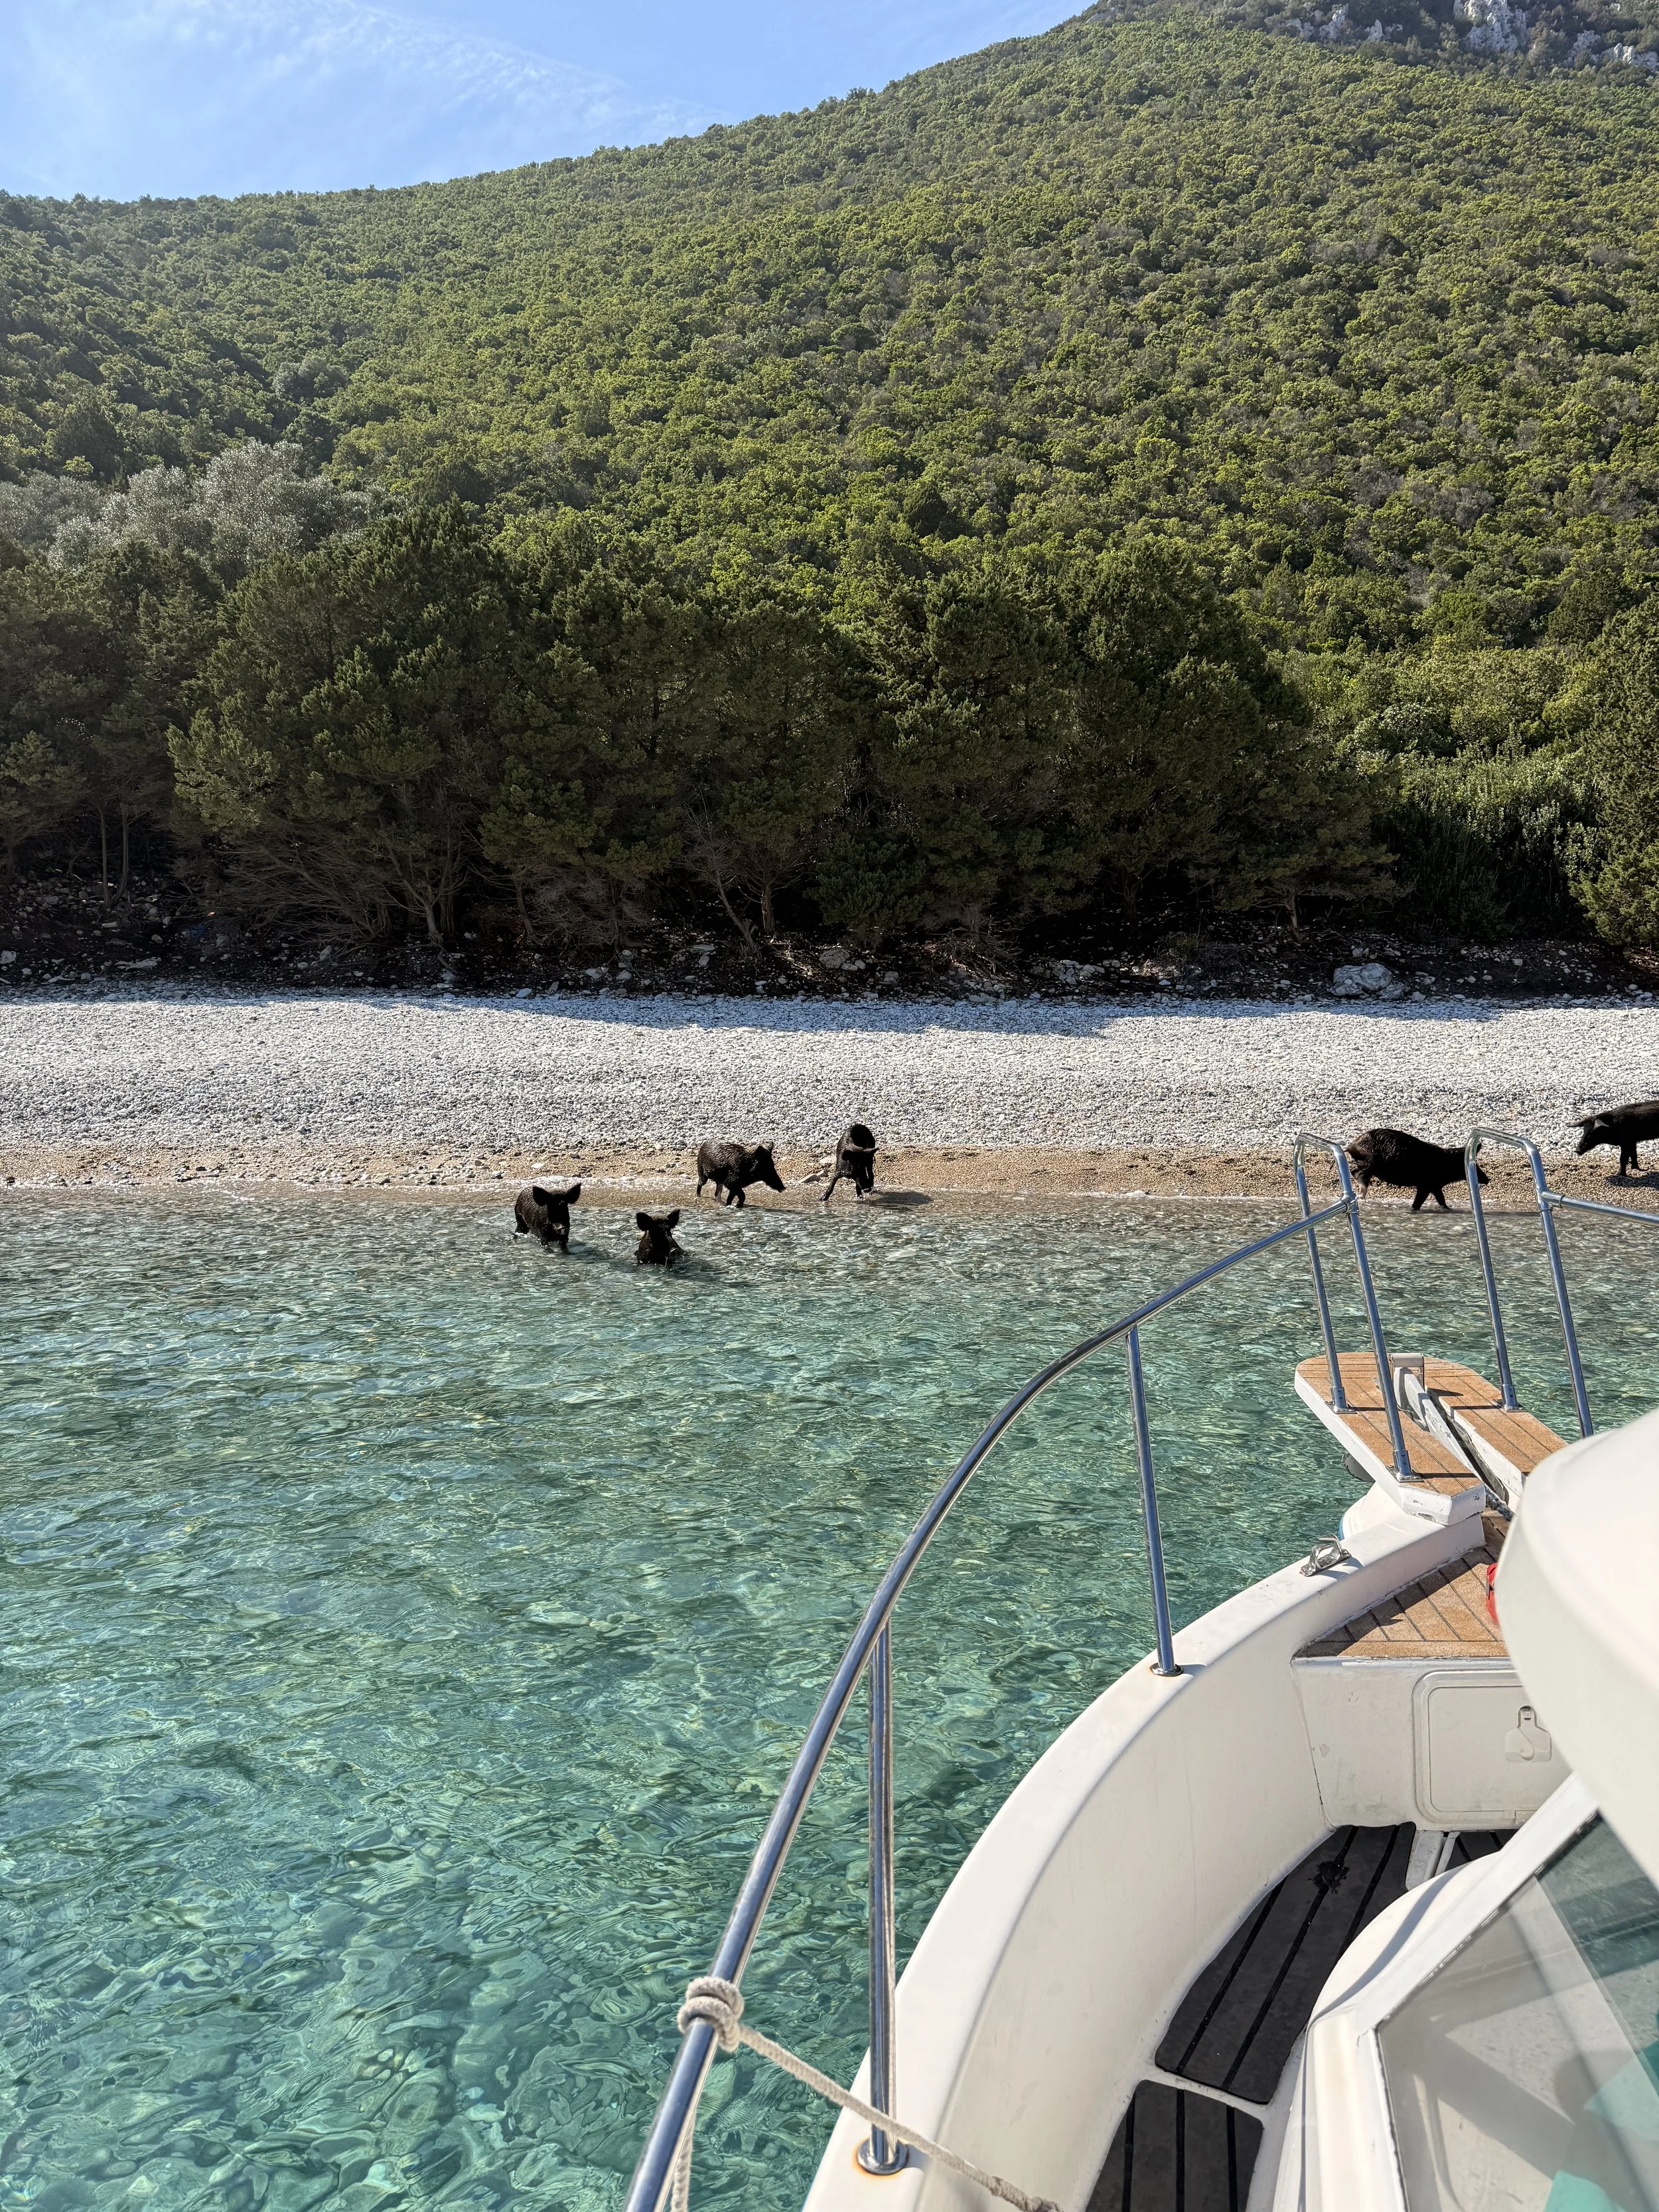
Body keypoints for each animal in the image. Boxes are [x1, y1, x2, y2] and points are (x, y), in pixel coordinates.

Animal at [695, 1140, 784, 1209]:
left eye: (772, 1165)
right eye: (768, 1166)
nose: (783, 1188)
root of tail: (704, 1144)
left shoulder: (734, 1186)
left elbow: (730, 1198)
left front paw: (731, 1206)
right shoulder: (731, 1182)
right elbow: (742, 1195)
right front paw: (737, 1206)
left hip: (719, 1181)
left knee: (717, 1192)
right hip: (702, 1172)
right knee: (700, 1183)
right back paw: (697, 1196)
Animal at [1347, 1128, 1487, 1212]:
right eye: (1476, 1165)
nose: (1488, 1179)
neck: (1445, 1164)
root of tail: (1351, 1146)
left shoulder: (1435, 1186)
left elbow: (1441, 1199)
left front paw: (1449, 1209)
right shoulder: (1426, 1185)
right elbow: (1419, 1201)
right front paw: (1413, 1210)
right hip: (1370, 1161)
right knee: (1356, 1171)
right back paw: (1361, 1193)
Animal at [1574, 1098, 1659, 1177]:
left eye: (1592, 1133)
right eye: (1584, 1131)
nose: (1577, 1150)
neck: (1612, 1127)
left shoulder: (1626, 1142)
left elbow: (1623, 1159)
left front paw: (1619, 1175)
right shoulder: (1632, 1141)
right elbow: (1634, 1154)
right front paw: (1636, 1169)